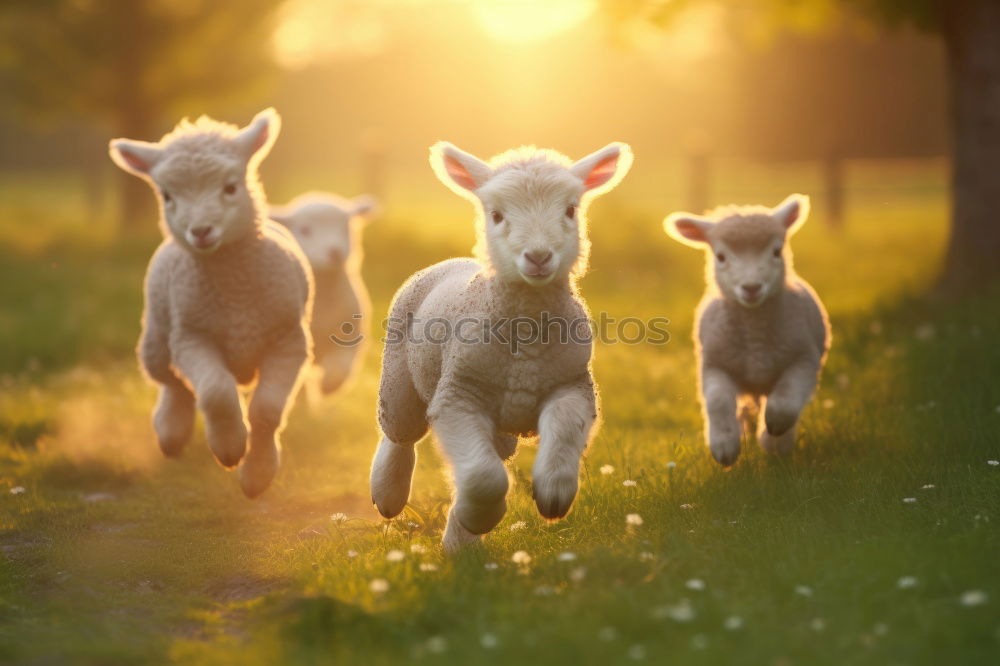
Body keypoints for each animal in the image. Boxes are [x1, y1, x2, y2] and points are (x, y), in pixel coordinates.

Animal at [107, 106, 310, 496]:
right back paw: (171, 432)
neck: (235, 291)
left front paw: (258, 474)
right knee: (173, 384)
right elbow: (216, 393)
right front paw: (230, 448)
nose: (200, 231)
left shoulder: (289, 340)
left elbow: (267, 409)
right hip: (157, 340)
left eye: (230, 187)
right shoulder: (192, 337)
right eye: (167, 196)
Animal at [272, 192, 376, 394]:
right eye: (305, 230)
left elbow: (341, 366)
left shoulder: (351, 335)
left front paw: (330, 385)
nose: (335, 252)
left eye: (345, 228)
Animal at [368, 139, 632, 548]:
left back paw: (459, 543)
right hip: (398, 378)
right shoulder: (457, 396)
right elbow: (483, 478)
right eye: (496, 214)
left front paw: (553, 496)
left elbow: (561, 434)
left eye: (571, 209)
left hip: (504, 425)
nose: (538, 256)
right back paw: (388, 496)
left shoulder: (572, 386)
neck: (526, 339)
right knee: (399, 434)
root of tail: (454, 261)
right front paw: (478, 517)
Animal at [660, 192, 832, 464]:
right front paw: (724, 446)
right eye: (721, 256)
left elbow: (785, 403)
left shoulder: (804, 360)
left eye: (776, 251)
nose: (751, 288)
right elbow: (718, 401)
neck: (755, 339)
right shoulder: (714, 365)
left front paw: (773, 437)